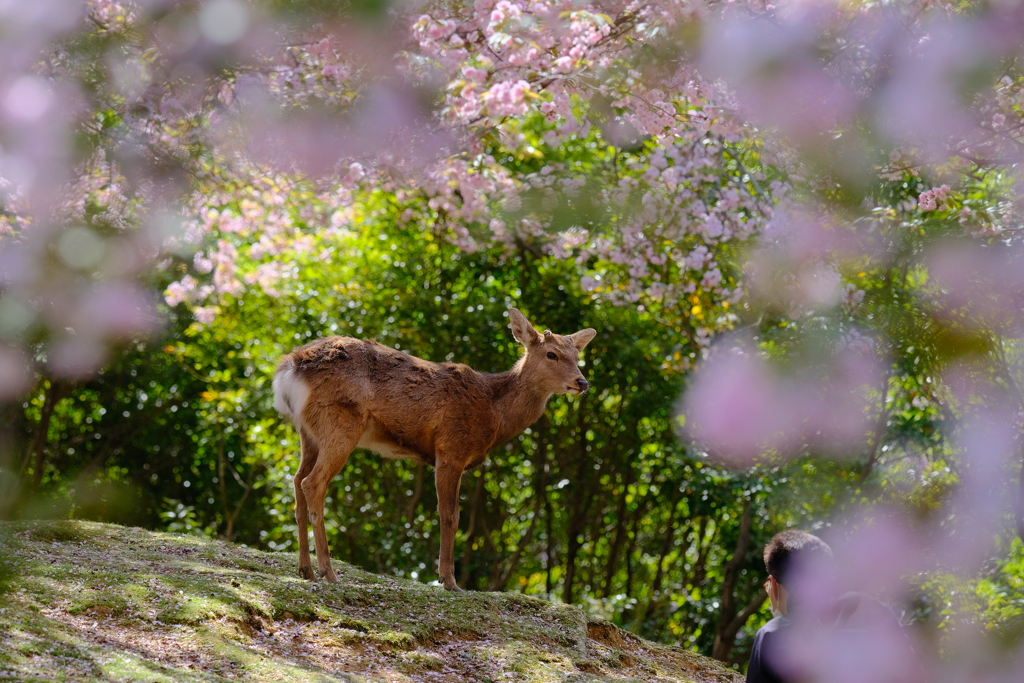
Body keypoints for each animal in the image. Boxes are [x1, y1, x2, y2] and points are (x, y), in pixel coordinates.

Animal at [272, 307, 598, 589]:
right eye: (551, 354)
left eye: (577, 354)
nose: (582, 382)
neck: (494, 413)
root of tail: (289, 370)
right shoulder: (451, 449)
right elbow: (450, 516)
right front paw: (449, 580)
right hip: (339, 424)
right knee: (313, 483)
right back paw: (329, 572)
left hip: (308, 433)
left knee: (297, 481)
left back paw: (306, 569)